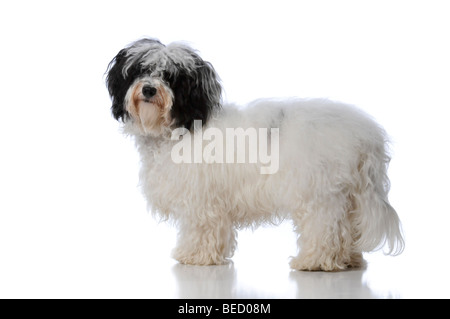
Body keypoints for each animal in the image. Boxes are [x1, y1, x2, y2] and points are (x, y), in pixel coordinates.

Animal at [105, 38, 404, 272]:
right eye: (141, 70)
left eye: (171, 76)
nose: (149, 89)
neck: (183, 127)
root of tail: (366, 134)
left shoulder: (202, 200)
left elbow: (200, 229)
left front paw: (193, 256)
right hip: (350, 195)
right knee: (347, 228)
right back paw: (349, 259)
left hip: (319, 193)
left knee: (326, 228)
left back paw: (314, 261)